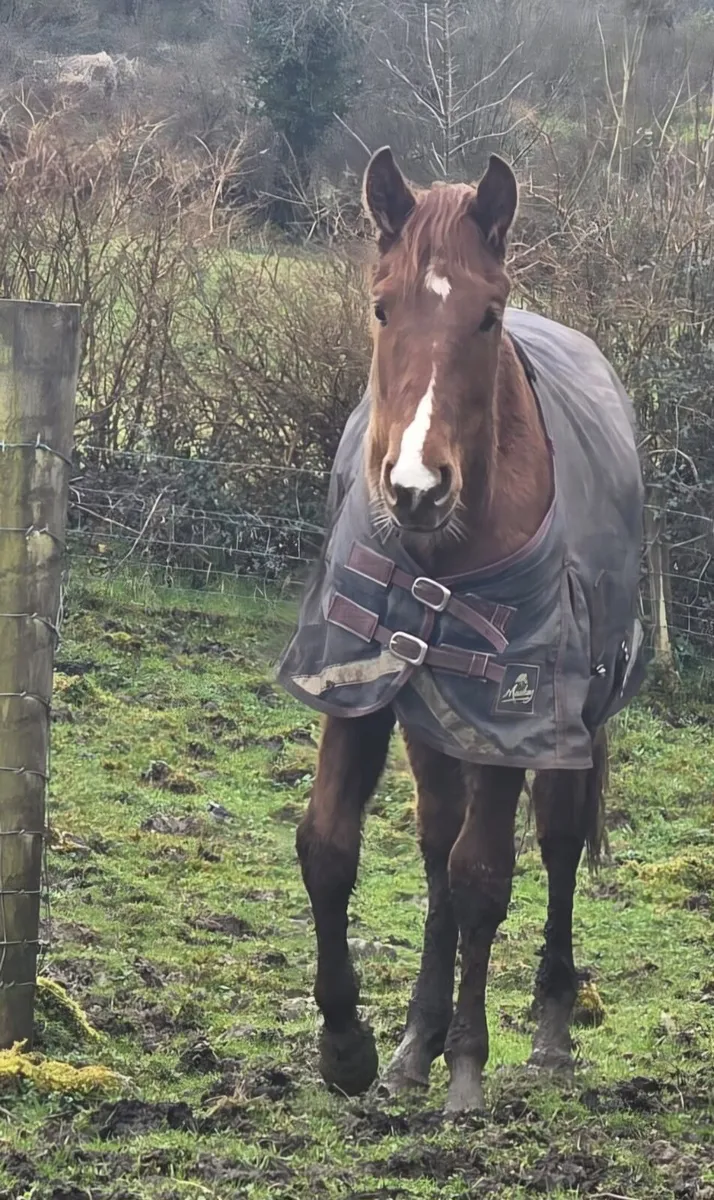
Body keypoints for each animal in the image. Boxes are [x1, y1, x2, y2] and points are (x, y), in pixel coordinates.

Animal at [278, 148, 646, 1113]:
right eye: (381, 306)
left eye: (487, 314)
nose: (415, 487)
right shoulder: (360, 686)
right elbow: (329, 848)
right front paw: (350, 1048)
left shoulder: (510, 720)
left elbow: (488, 877)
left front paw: (470, 1066)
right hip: (436, 725)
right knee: (438, 846)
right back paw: (415, 1042)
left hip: (561, 730)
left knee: (552, 845)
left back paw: (548, 1032)